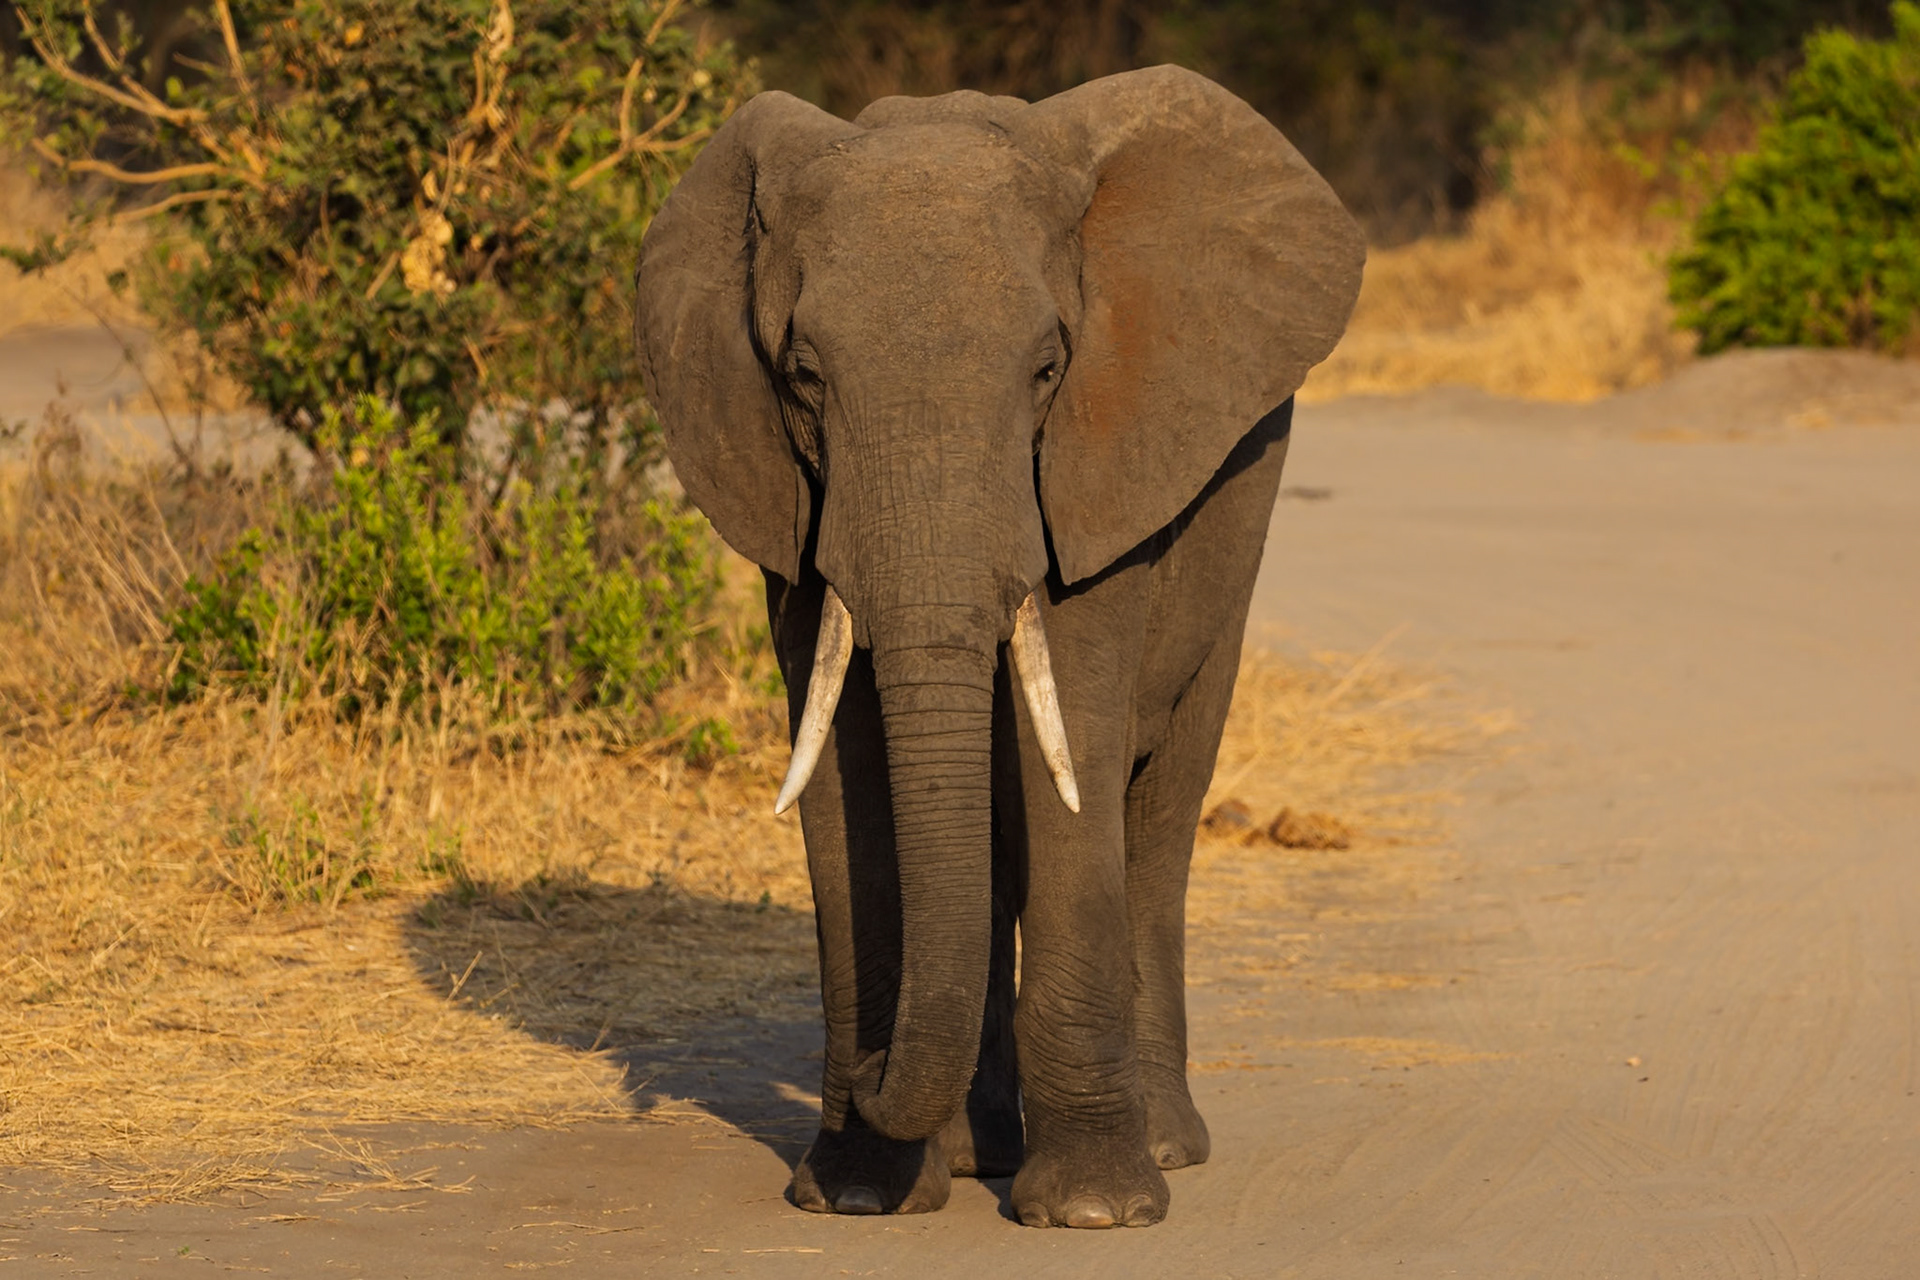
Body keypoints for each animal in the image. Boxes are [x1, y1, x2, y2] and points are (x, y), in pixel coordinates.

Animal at [633, 65, 1363, 1228]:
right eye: (803, 376)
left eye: (1049, 367)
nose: (866, 1072)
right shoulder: (791, 504)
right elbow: (840, 773)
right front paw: (857, 1192)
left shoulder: (1096, 465)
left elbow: (1074, 745)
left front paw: (1095, 1212)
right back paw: (981, 1151)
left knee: (1157, 811)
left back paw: (1164, 1143)